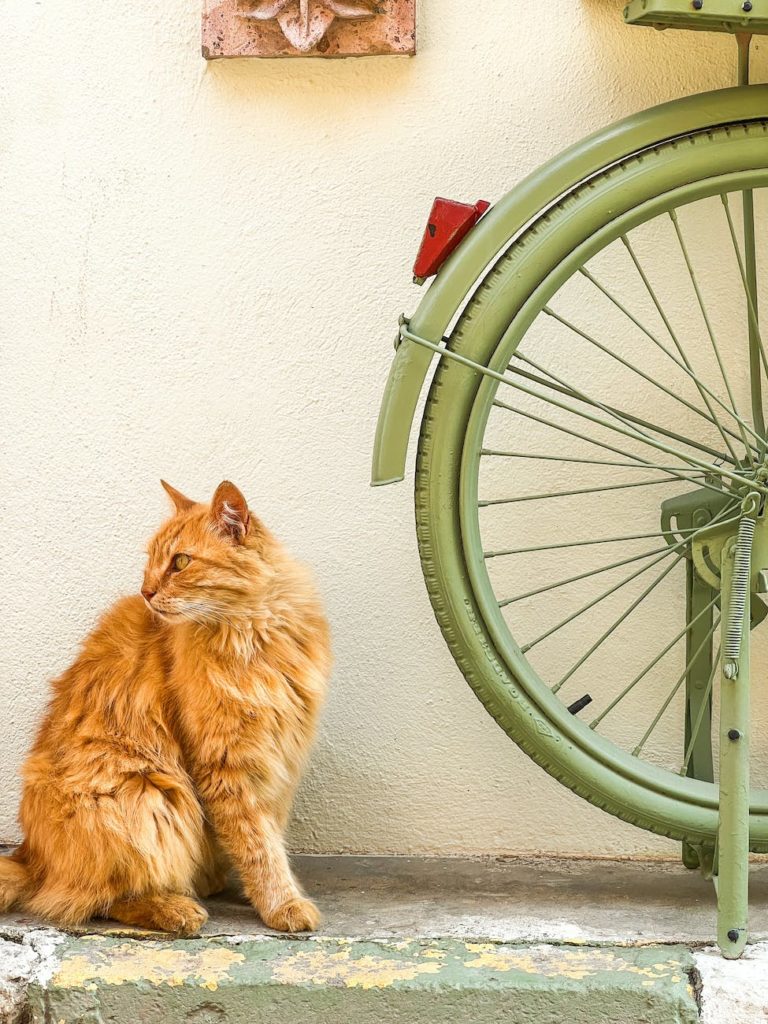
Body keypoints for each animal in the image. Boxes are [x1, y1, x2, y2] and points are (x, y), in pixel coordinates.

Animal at [0, 479, 329, 937]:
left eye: (180, 562)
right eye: (152, 562)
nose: (147, 592)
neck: (254, 637)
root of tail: (29, 855)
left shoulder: (280, 757)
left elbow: (267, 835)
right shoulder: (225, 765)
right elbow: (258, 845)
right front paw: (282, 903)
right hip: (145, 795)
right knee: (94, 900)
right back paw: (177, 909)